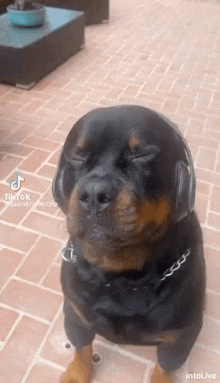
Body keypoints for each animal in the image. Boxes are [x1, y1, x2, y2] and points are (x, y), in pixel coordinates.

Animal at [52, 106, 205, 383]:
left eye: (141, 155)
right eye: (77, 157)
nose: (94, 193)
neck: (122, 278)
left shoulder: (179, 338)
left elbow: (165, 368)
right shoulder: (75, 315)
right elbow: (81, 348)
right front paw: (77, 373)